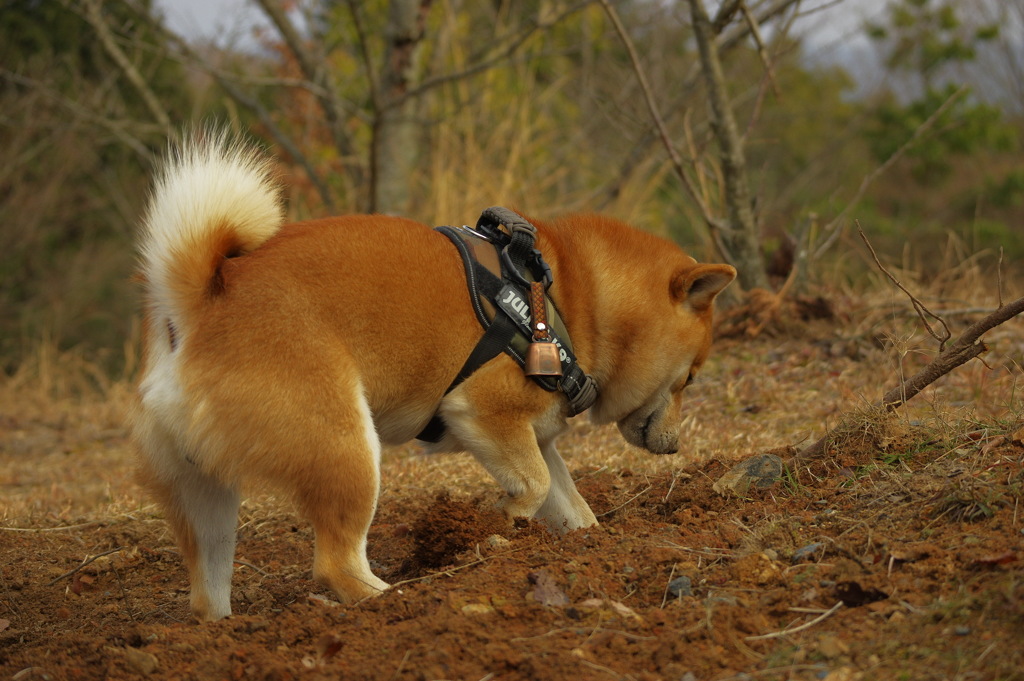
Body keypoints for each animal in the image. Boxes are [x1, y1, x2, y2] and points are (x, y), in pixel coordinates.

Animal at [128, 130, 737, 618]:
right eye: (690, 378)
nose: (676, 445)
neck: (567, 295)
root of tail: (200, 302)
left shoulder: (535, 439)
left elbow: (569, 503)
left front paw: (585, 543)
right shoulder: (484, 415)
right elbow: (535, 485)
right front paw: (497, 525)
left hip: (206, 498)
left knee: (207, 594)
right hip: (349, 451)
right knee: (336, 564)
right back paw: (399, 597)